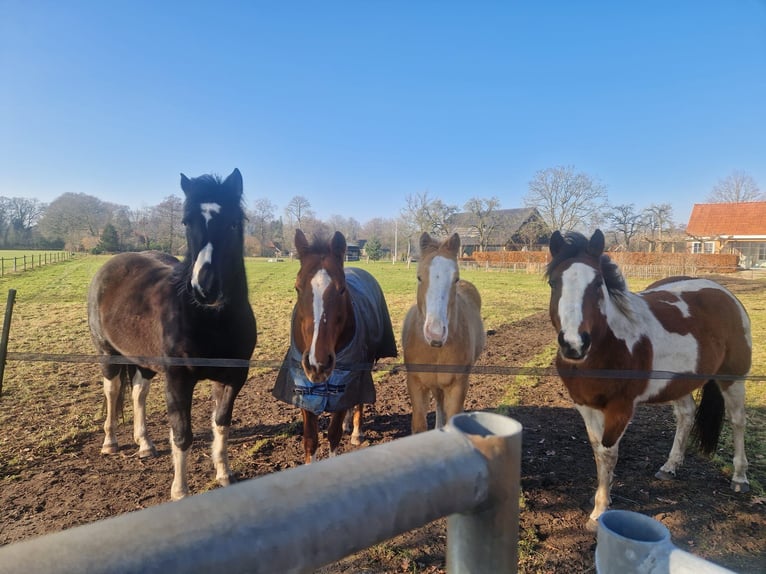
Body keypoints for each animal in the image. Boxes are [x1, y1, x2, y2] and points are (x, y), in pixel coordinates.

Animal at [88, 168, 257, 500]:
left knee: (138, 393)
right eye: (186, 222)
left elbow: (221, 423)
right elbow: (181, 434)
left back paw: (145, 444)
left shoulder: (233, 377)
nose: (205, 287)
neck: (211, 320)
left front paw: (224, 474)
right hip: (108, 355)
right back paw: (110, 442)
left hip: (142, 360)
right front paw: (180, 492)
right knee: (113, 391)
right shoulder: (178, 380)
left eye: (233, 223)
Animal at [272, 229, 397, 464]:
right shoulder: (305, 391)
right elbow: (310, 439)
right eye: (297, 288)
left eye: (341, 290)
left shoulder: (347, 379)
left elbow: (333, 434)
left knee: (357, 401)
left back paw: (356, 431)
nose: (317, 363)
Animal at [401, 232, 485, 433]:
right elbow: (419, 425)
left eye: (455, 278)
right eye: (419, 277)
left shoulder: (457, 385)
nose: (435, 334)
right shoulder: (416, 383)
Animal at [546, 228, 751, 530]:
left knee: (737, 421)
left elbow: (608, 454)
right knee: (686, 415)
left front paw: (599, 511)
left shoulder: (620, 408)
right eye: (553, 282)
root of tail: (725, 294)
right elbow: (597, 452)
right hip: (679, 382)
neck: (609, 346)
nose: (574, 344)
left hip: (733, 379)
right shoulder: (585, 406)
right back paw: (670, 466)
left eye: (597, 284)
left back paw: (739, 477)